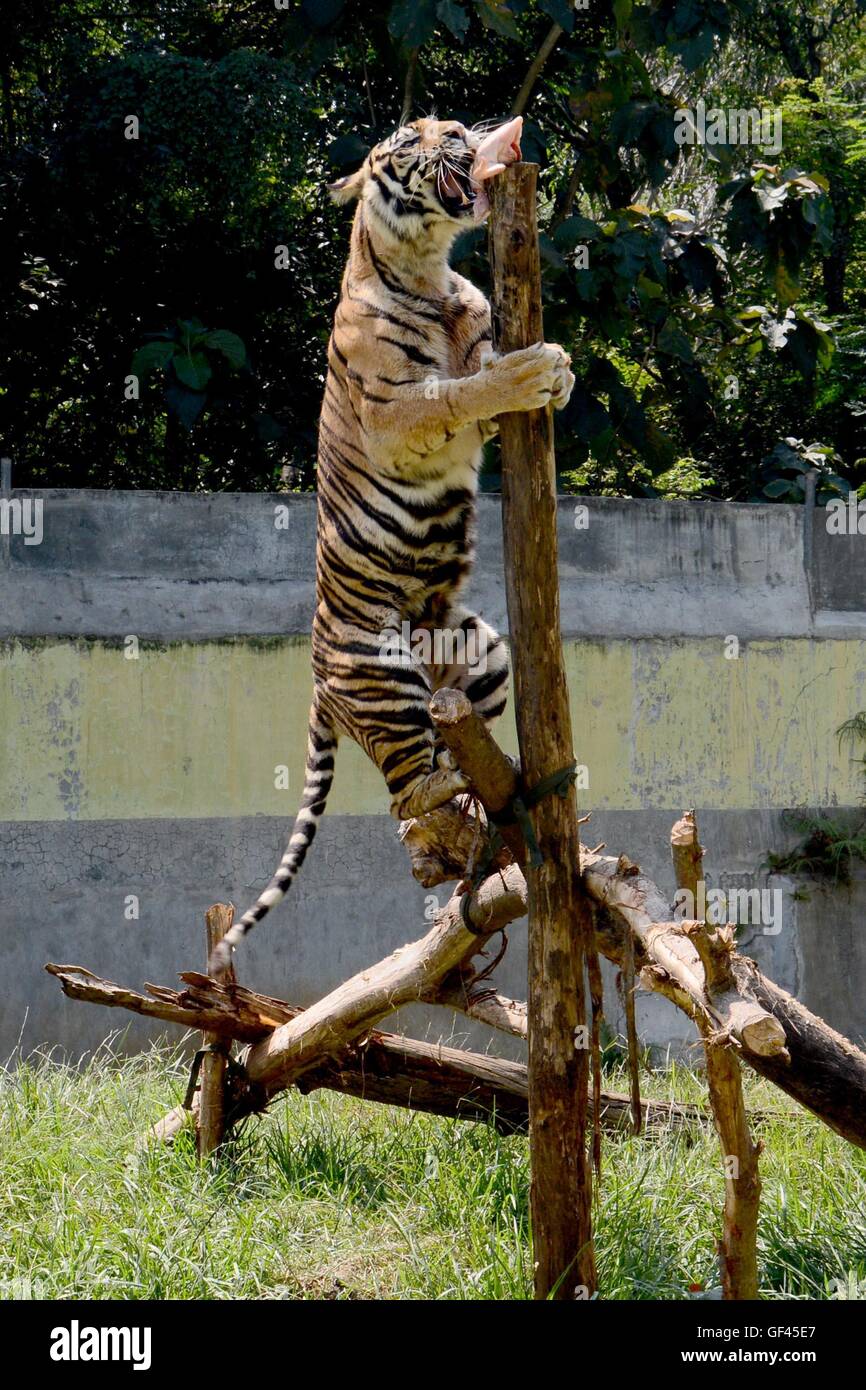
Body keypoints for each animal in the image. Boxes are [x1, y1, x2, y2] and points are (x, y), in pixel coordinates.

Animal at [212, 117, 574, 969]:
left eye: (450, 126)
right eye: (414, 137)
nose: (459, 130)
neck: (431, 270)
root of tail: (317, 677)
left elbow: (478, 364)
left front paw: (559, 371)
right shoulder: (396, 411)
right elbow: (461, 388)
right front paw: (533, 368)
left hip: (480, 652)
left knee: (442, 765)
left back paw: (488, 791)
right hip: (384, 674)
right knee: (406, 794)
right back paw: (449, 795)